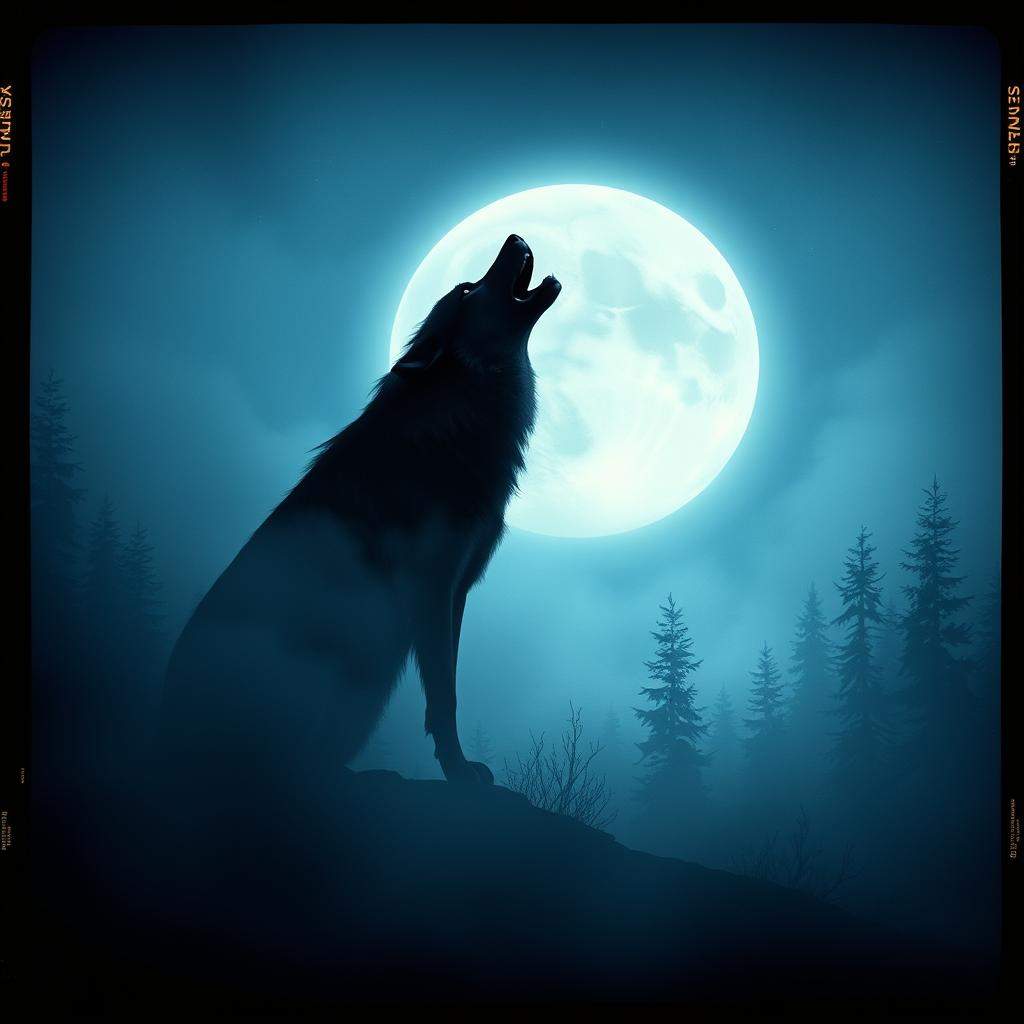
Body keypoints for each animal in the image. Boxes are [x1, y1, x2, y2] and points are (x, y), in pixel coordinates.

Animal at [158, 235, 560, 793]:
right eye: (465, 288)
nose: (514, 237)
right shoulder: (432, 590)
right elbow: (445, 697)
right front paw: (458, 771)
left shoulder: (457, 591)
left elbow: (449, 689)